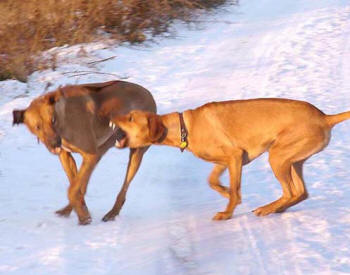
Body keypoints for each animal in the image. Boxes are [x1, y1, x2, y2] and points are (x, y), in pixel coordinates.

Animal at [12, 81, 156, 225]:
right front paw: (82, 212)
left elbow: (72, 190)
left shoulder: (90, 155)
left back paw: (112, 213)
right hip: (103, 148)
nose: (54, 143)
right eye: (37, 127)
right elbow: (76, 187)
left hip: (135, 152)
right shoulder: (66, 156)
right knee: (84, 185)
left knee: (124, 187)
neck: (64, 118)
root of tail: (148, 94)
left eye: (52, 120)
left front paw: (83, 216)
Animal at [110, 98, 350, 221]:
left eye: (130, 117)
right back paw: (277, 208)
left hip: (278, 156)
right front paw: (226, 194)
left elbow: (234, 189)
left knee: (290, 192)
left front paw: (227, 212)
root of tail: (325, 118)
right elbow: (213, 181)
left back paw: (266, 209)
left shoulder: (234, 157)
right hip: (293, 160)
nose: (111, 117)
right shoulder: (227, 161)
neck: (185, 127)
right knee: (301, 192)